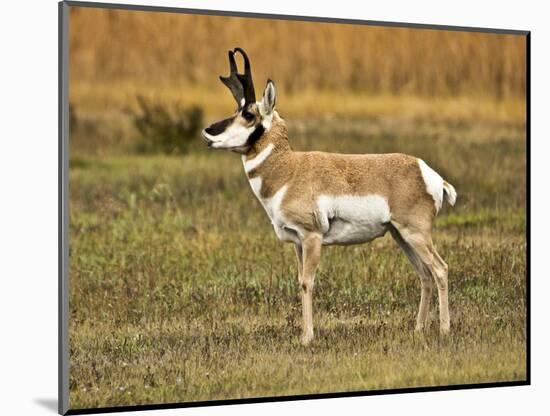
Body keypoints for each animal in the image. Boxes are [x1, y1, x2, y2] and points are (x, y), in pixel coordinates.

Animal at [202, 48, 458, 346]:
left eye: (248, 114)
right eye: (237, 110)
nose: (208, 131)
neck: (289, 169)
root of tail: (428, 172)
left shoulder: (312, 237)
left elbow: (307, 282)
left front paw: (307, 338)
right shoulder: (297, 242)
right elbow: (299, 280)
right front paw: (303, 334)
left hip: (415, 234)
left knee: (440, 269)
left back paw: (444, 330)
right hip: (400, 236)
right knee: (425, 275)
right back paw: (418, 330)